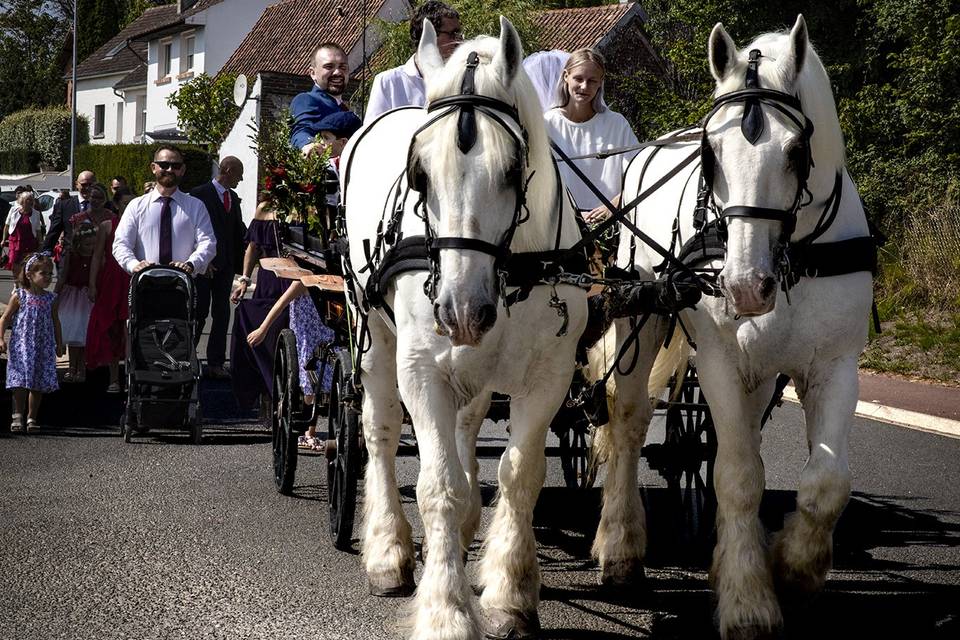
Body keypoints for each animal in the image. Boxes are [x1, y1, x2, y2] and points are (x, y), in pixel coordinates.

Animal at [342, 17, 588, 636]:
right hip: (372, 335)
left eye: (511, 169)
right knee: (380, 430)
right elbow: (439, 487)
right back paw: (388, 549)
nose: (459, 310)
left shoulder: (549, 376)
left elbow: (521, 475)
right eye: (420, 175)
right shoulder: (421, 369)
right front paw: (446, 609)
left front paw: (509, 591)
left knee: (468, 422)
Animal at [596, 15, 872, 640]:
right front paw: (748, 600)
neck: (794, 256)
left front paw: (792, 569)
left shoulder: (835, 364)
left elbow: (825, 481)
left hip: (763, 370)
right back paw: (620, 548)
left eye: (795, 150)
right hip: (641, 315)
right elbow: (739, 476)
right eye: (711, 152)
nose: (745, 286)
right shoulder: (719, 358)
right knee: (628, 424)